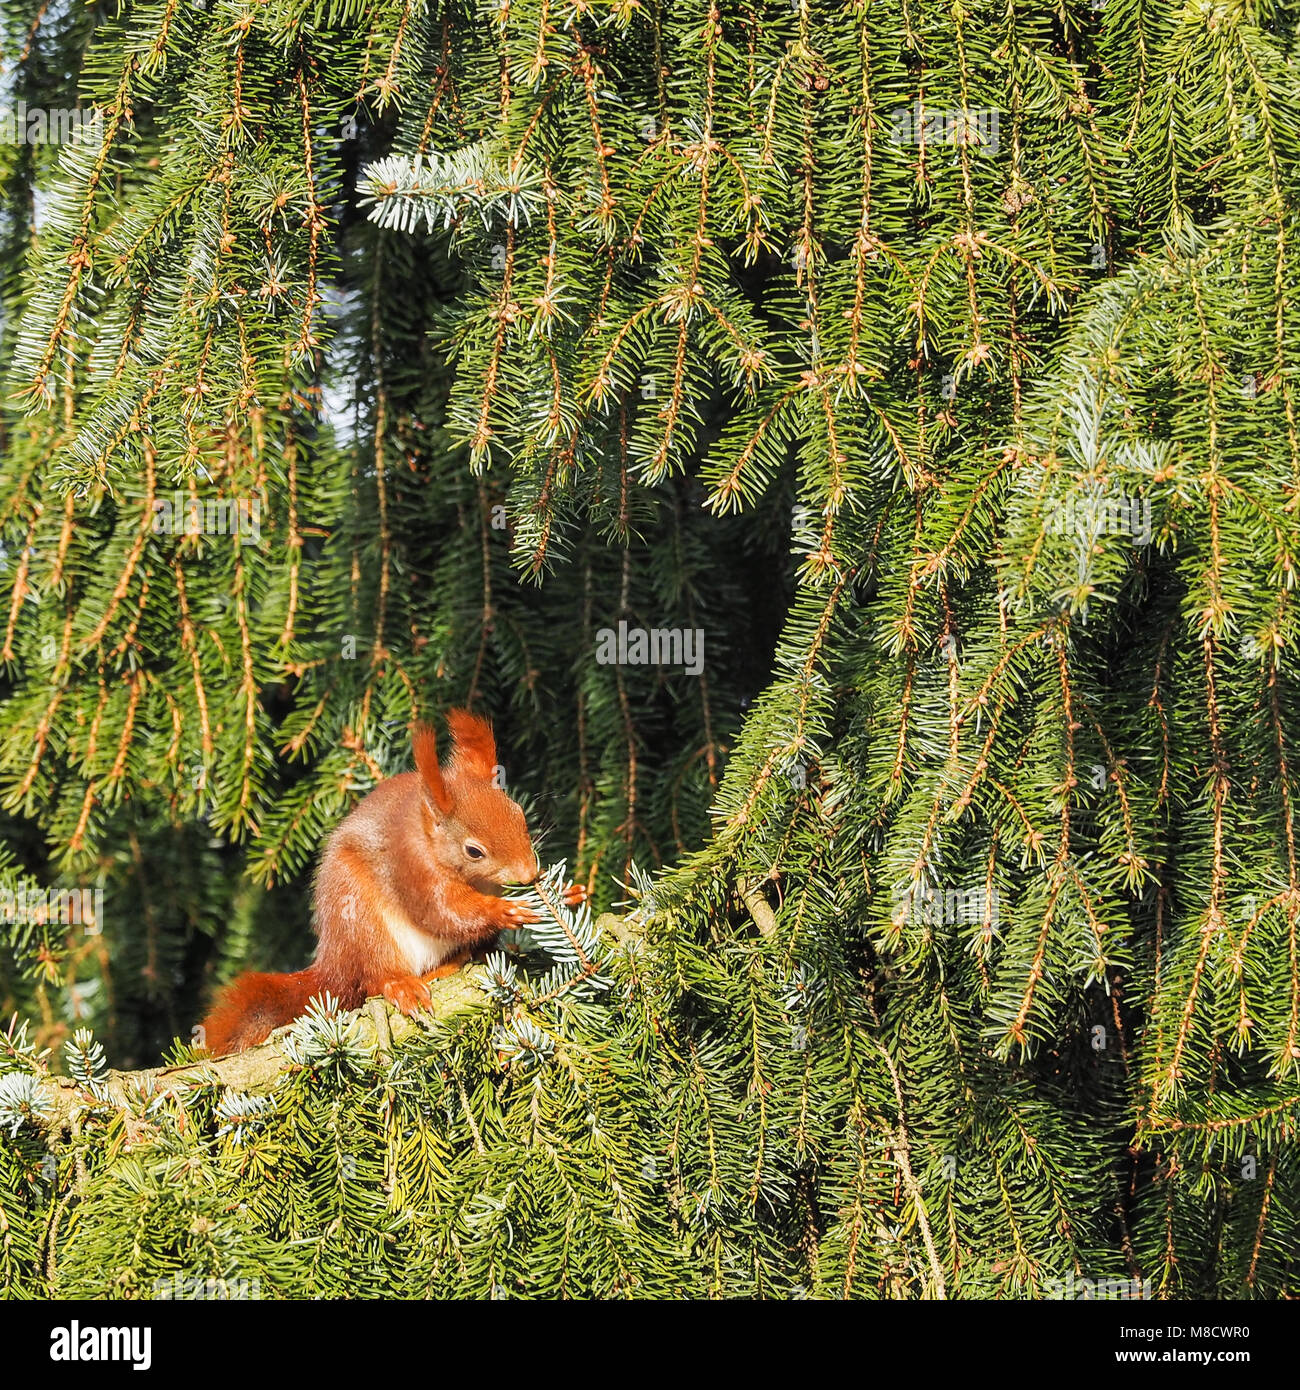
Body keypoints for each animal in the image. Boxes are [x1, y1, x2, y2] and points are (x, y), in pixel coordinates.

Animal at [199, 710, 583, 1054]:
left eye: (519, 815)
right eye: (474, 851)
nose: (529, 873)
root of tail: (333, 964)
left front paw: (567, 891)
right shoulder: (411, 867)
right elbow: (442, 912)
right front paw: (504, 910)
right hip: (362, 921)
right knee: (374, 979)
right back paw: (404, 985)